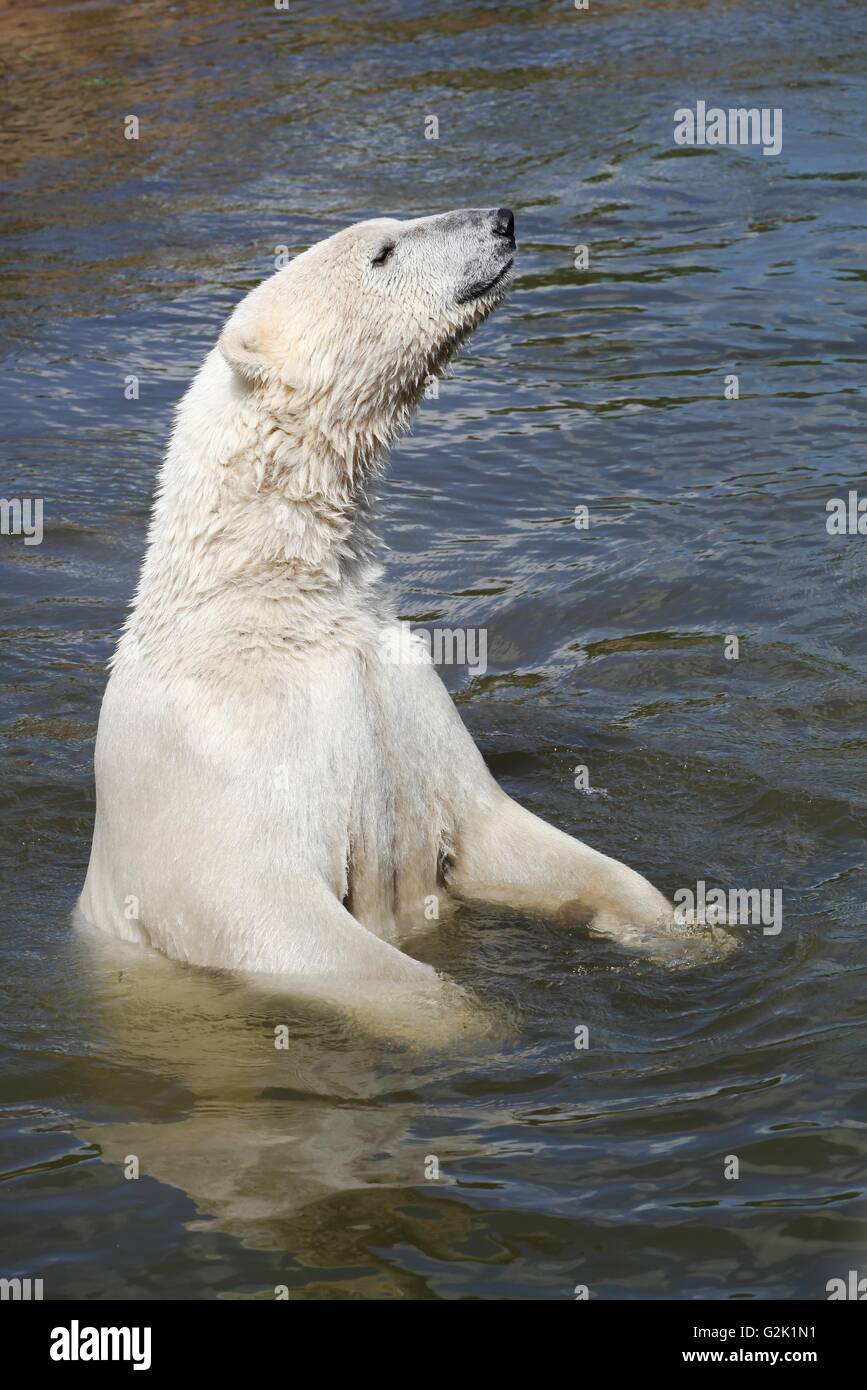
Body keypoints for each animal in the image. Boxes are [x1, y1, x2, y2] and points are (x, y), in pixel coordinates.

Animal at [79, 205, 678, 1000]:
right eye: (384, 250)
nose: (502, 219)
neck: (269, 599)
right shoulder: (215, 768)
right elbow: (274, 921)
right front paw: (469, 1014)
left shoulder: (400, 699)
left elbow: (498, 831)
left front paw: (687, 931)